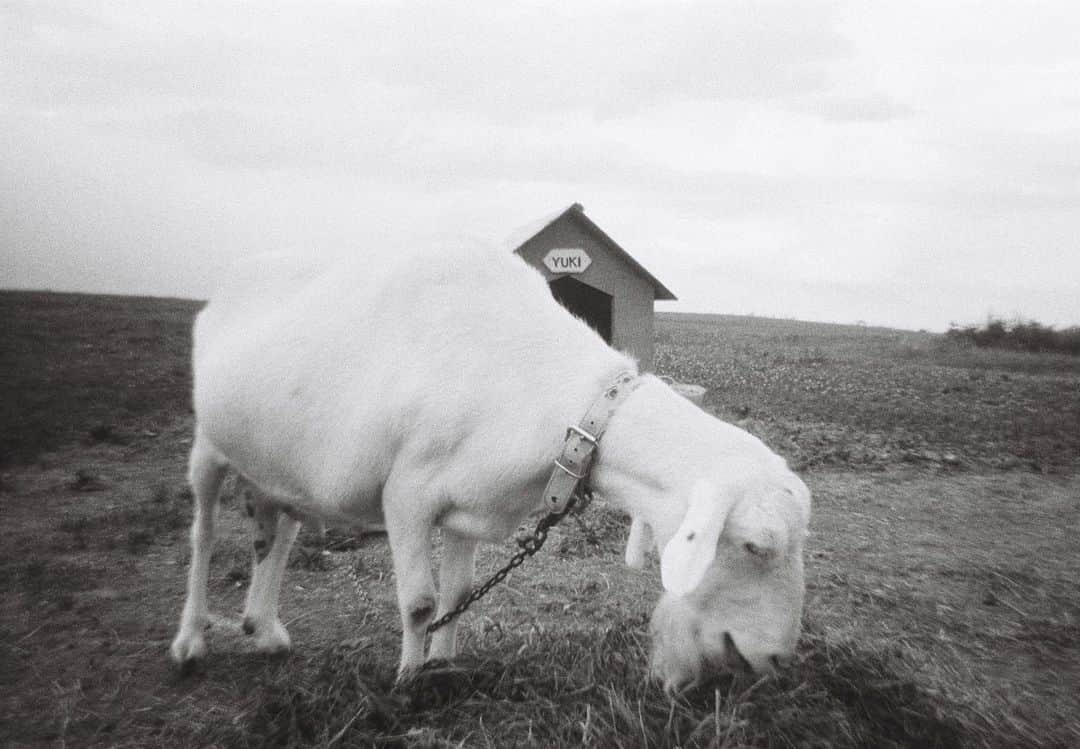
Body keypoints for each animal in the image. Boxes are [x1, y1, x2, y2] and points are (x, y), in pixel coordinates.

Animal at [170, 246, 812, 690]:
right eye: (756, 545)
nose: (779, 658)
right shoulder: (406, 495)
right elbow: (419, 602)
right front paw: (408, 685)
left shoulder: (467, 502)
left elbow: (457, 593)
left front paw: (445, 667)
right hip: (207, 445)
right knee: (204, 535)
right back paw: (190, 640)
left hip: (279, 465)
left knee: (274, 532)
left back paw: (264, 629)